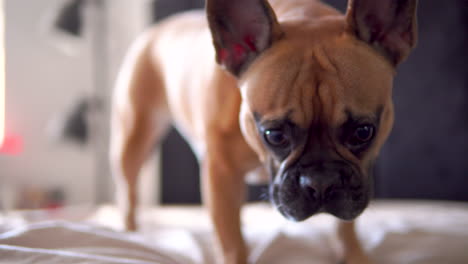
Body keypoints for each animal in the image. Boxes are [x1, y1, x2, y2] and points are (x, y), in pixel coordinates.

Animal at [109, 0, 416, 264]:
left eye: (363, 132)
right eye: (274, 135)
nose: (321, 182)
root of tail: (158, 28)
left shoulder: (355, 184)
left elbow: (346, 225)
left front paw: (353, 254)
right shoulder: (221, 174)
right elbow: (231, 240)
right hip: (135, 137)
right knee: (129, 191)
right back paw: (131, 232)